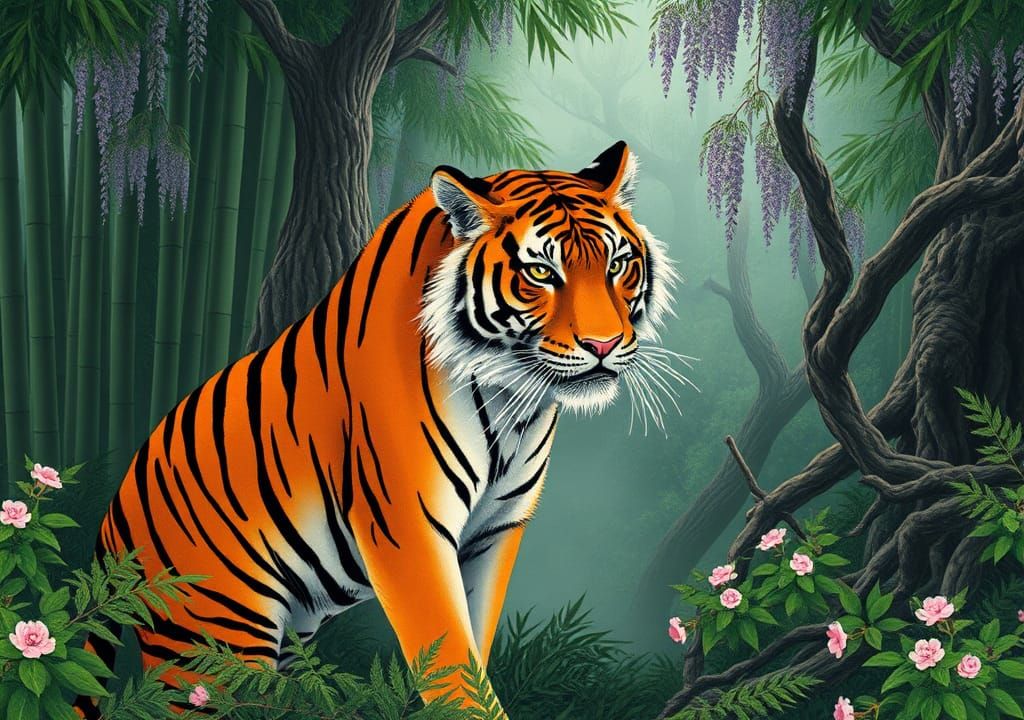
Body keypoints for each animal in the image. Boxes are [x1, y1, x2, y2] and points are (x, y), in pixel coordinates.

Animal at [76, 141, 676, 717]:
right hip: (214, 638)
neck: (511, 402)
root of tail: (111, 517)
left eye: (618, 265)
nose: (603, 345)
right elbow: (453, 665)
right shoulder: (409, 530)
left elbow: (474, 644)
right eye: (541, 273)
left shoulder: (496, 532)